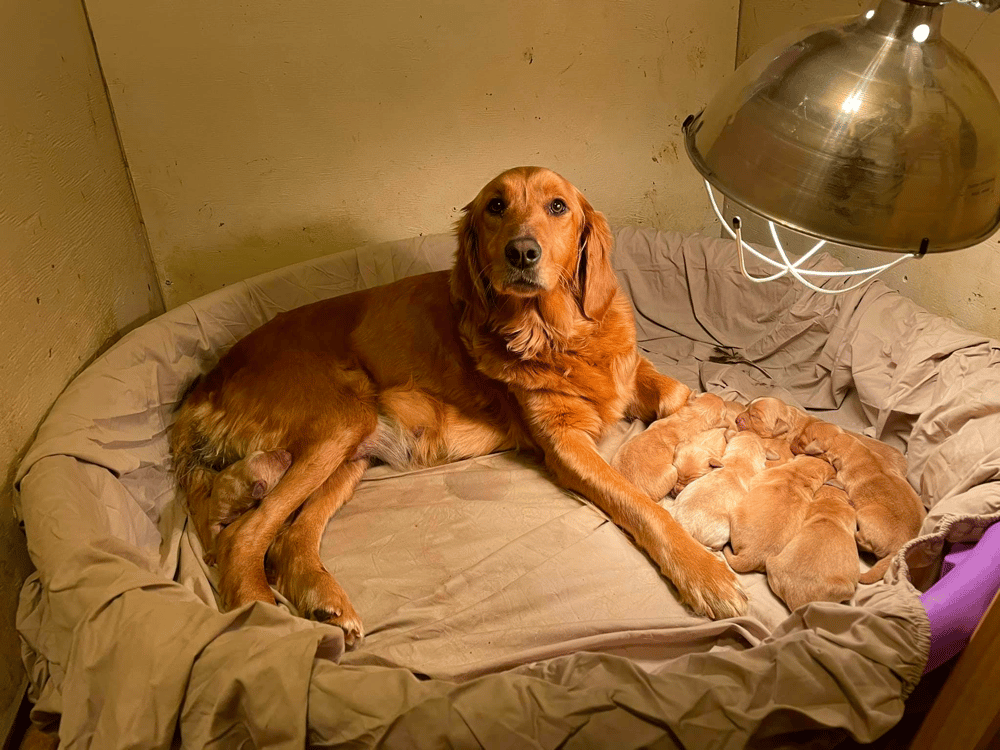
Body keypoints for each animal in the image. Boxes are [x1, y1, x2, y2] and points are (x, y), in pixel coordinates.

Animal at [788, 420, 920, 584]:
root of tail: (899, 548)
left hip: (865, 514)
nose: (790, 442)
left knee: (863, 541)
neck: (843, 441)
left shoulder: (840, 478)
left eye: (801, 442)